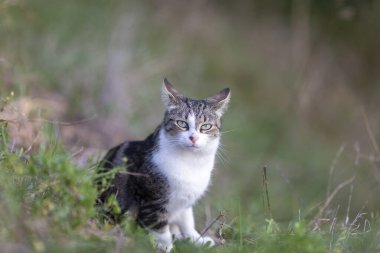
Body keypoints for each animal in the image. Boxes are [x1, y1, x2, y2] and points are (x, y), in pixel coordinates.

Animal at [96, 78, 230, 252]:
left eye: (206, 126)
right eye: (182, 123)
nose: (193, 138)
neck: (191, 163)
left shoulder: (185, 201)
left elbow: (187, 221)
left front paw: (197, 240)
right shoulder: (152, 200)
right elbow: (160, 230)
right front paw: (167, 247)